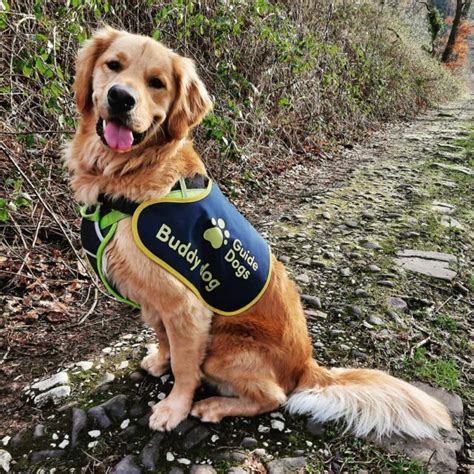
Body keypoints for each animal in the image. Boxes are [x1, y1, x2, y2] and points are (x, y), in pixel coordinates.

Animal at [65, 27, 452, 438]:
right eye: (114, 65)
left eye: (157, 83)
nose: (121, 97)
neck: (130, 178)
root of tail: (306, 365)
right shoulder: (154, 301)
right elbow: (162, 337)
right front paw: (160, 360)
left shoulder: (186, 308)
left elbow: (185, 366)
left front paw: (173, 408)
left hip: (225, 349)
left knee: (274, 397)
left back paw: (214, 406)